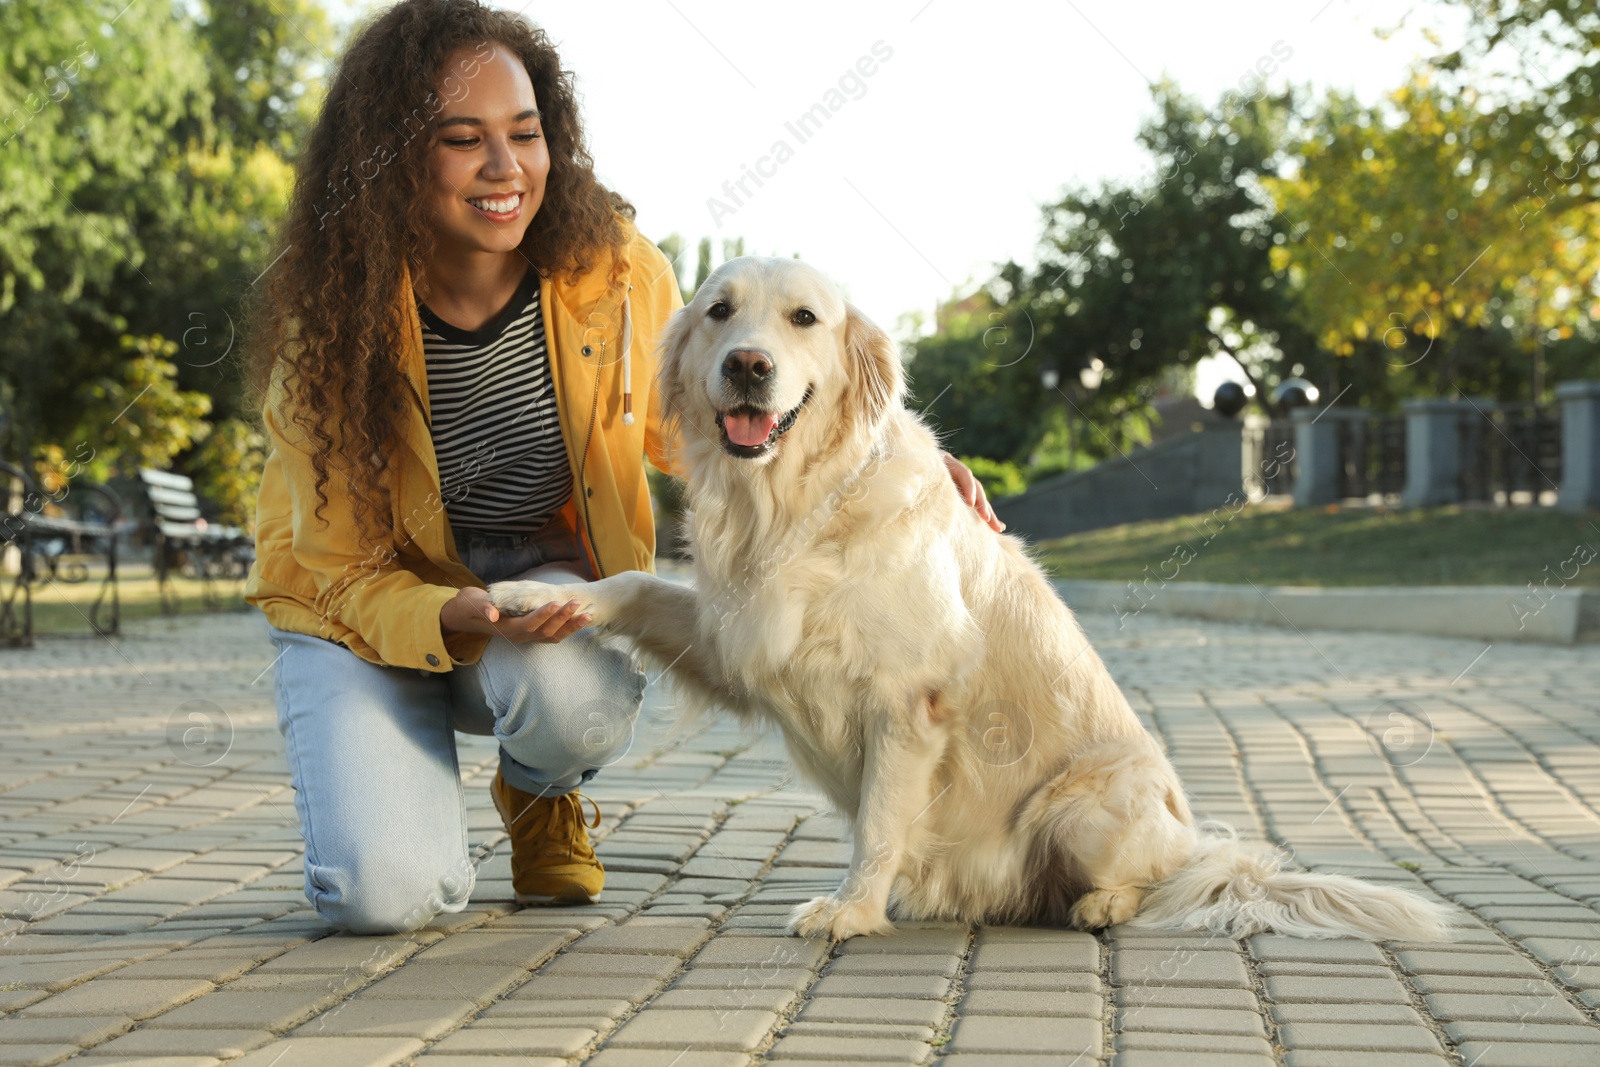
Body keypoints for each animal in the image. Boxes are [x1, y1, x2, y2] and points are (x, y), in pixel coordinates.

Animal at [492, 259, 1459, 940]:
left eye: (804, 318)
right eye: (719, 312)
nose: (748, 366)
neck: (799, 503)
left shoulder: (907, 699)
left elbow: (880, 820)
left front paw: (851, 909)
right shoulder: (741, 632)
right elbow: (634, 583)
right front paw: (527, 594)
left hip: (1081, 805)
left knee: (1156, 881)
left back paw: (1101, 903)